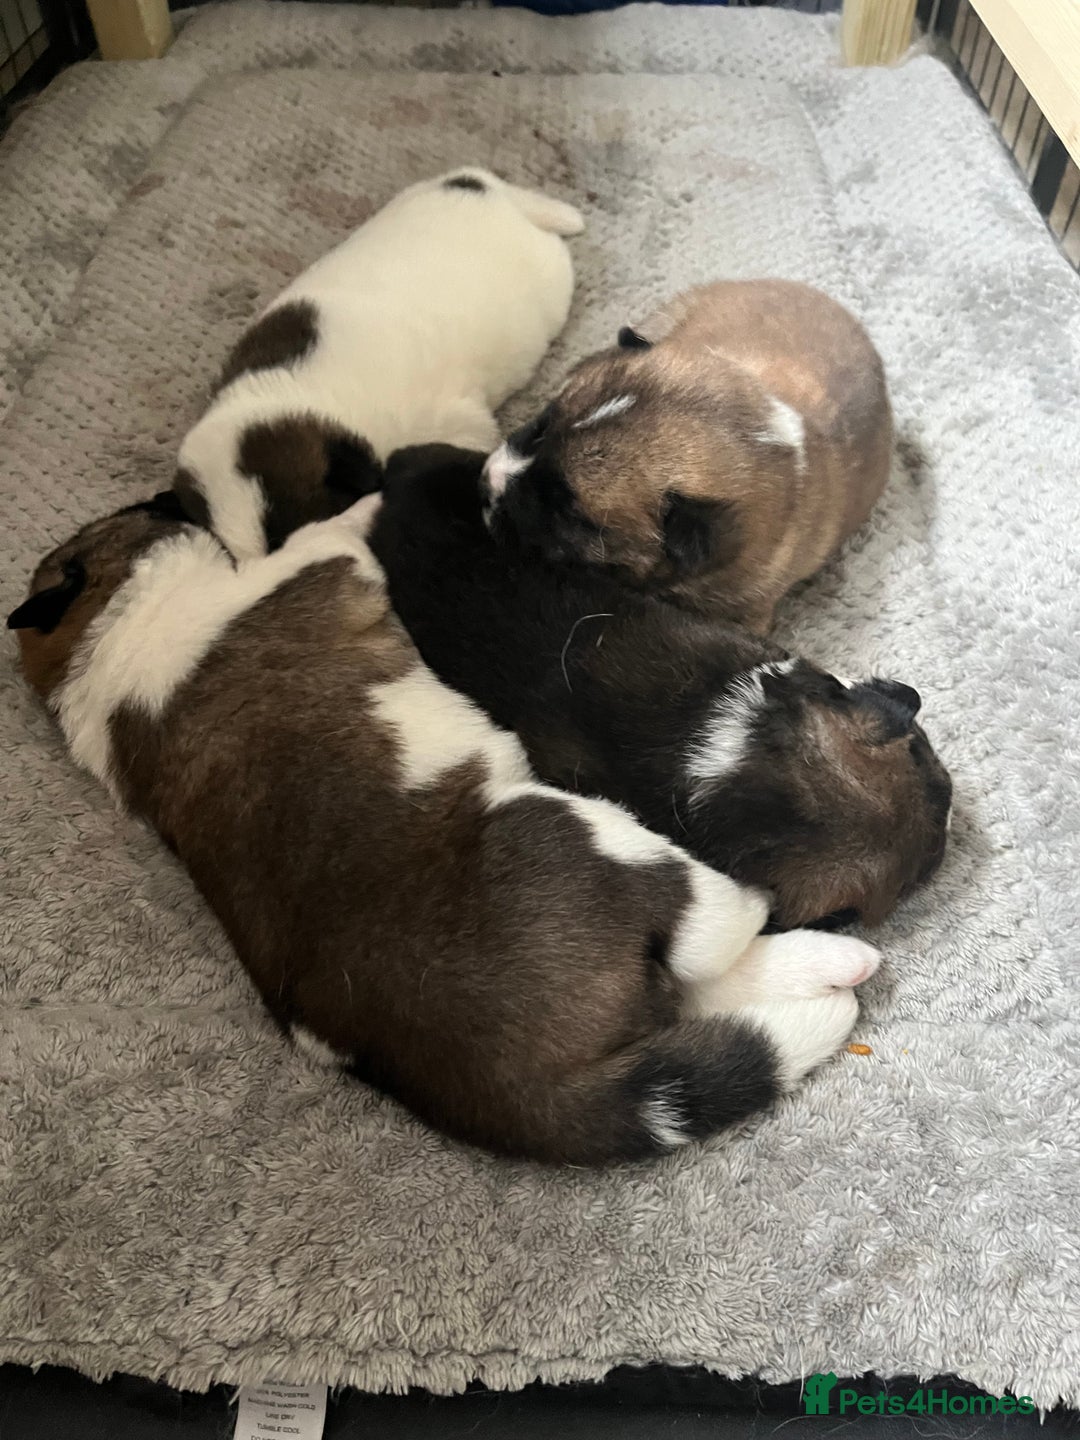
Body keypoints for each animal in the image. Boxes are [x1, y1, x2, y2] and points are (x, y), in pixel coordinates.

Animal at [8, 495, 880, 1164]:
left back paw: (829, 965)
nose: (165, 497)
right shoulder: (316, 566)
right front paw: (365, 500)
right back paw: (799, 934)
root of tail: (519, 1088)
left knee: (694, 990)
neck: (103, 648)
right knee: (709, 938)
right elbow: (327, 532)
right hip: (582, 834)